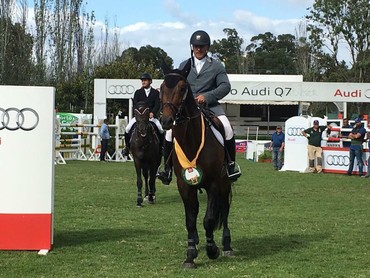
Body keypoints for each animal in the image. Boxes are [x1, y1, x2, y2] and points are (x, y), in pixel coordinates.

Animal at [160, 60, 234, 268]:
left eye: (182, 88)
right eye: (161, 88)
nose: (166, 120)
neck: (191, 141)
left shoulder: (214, 184)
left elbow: (209, 219)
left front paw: (212, 249)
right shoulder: (184, 185)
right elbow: (190, 220)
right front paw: (190, 254)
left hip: (225, 183)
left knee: (224, 210)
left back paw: (226, 246)